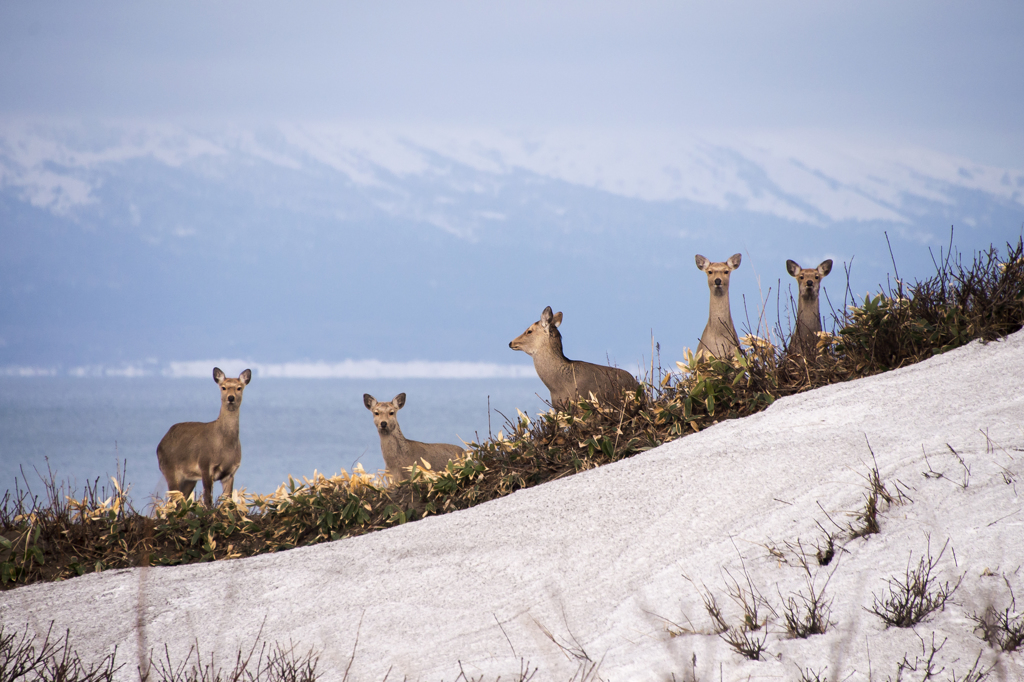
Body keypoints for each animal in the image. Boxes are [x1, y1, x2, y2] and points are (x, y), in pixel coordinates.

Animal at [155, 366, 251, 503]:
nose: (231, 398)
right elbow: (207, 499)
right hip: (169, 470)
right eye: (223, 387)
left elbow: (228, 502)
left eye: (239, 387)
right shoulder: (205, 465)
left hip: (189, 479)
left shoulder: (230, 472)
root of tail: (160, 444)